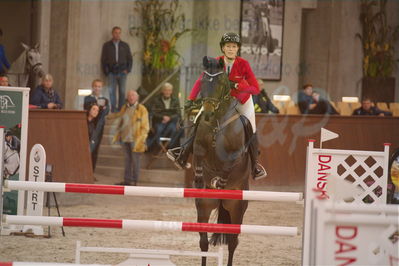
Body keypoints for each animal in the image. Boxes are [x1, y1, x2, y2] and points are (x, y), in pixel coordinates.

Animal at [192, 56, 252, 266]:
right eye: (203, 81)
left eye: (219, 83)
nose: (207, 113)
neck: (217, 122)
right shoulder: (199, 146)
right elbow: (198, 156)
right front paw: (200, 179)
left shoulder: (234, 154)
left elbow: (227, 166)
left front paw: (220, 181)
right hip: (204, 206)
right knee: (203, 242)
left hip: (237, 208)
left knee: (233, 242)